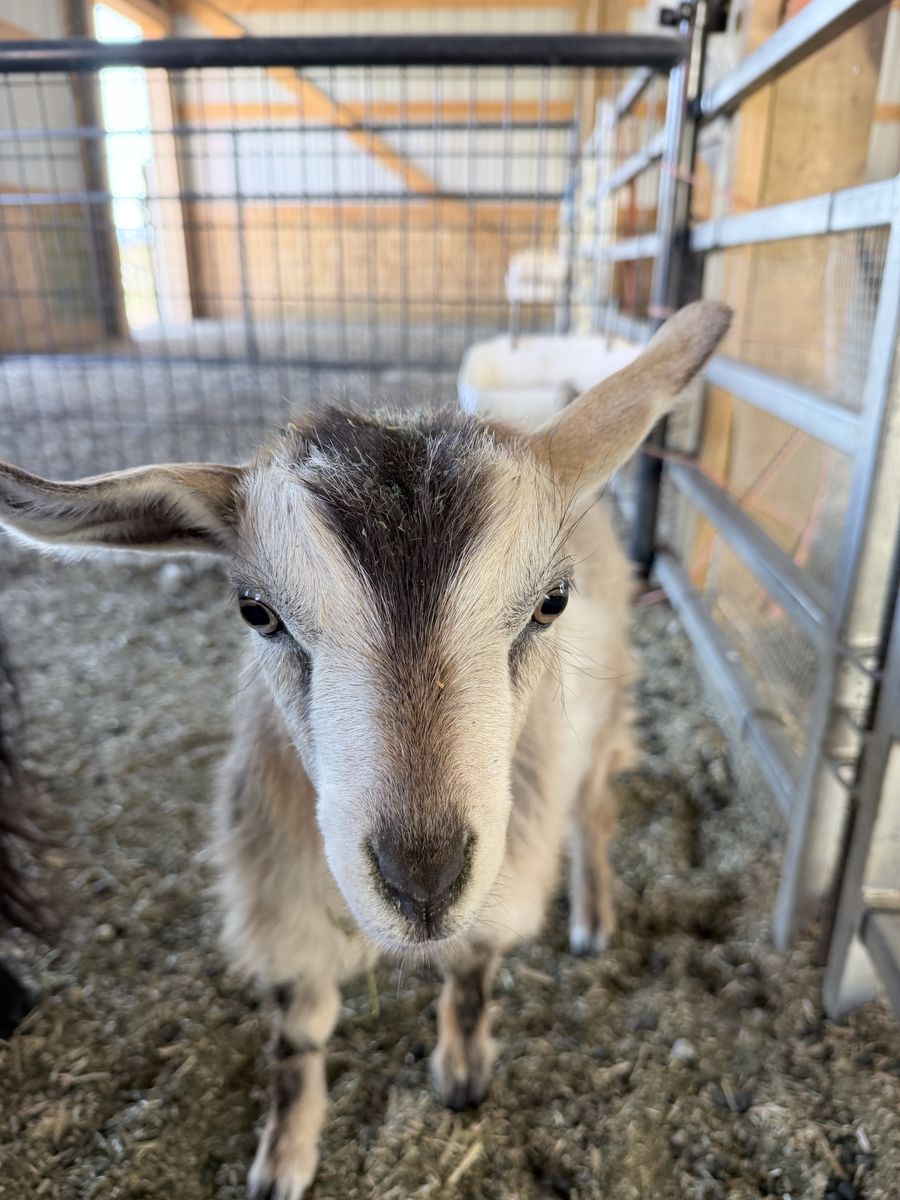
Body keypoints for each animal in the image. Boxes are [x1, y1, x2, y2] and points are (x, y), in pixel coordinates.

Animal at [0, 301, 730, 1199]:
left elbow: (472, 972)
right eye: (255, 611)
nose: (422, 882)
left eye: (552, 602)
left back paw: (594, 916)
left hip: (599, 721)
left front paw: (461, 1072)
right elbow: (298, 1031)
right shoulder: (283, 897)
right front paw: (283, 1156)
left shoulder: (503, 875)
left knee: (593, 812)